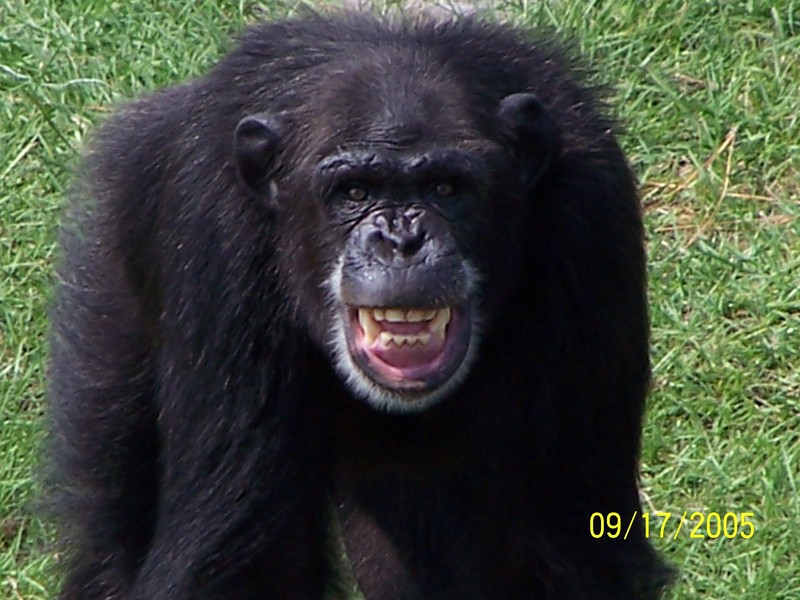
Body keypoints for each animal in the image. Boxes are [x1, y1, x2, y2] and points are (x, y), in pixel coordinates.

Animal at [48, 10, 668, 600]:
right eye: (354, 192)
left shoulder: (591, 218)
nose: (401, 239)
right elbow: (245, 556)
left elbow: (565, 543)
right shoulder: (213, 227)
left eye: (446, 188)